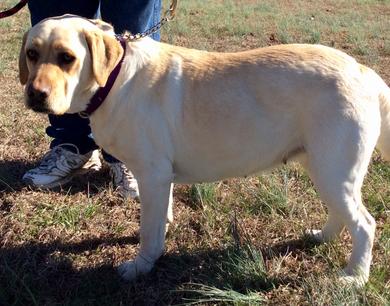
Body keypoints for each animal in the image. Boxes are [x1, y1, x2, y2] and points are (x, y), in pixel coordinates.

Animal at [19, 14, 390, 286]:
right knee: (343, 214)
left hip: (333, 170)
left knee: (365, 224)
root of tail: (367, 73)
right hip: (324, 168)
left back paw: (355, 278)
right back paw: (322, 238)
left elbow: (148, 231)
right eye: (32, 54)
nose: (35, 94)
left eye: (67, 58)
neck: (114, 80)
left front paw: (141, 266)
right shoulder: (161, 179)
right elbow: (159, 218)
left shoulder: (152, 174)